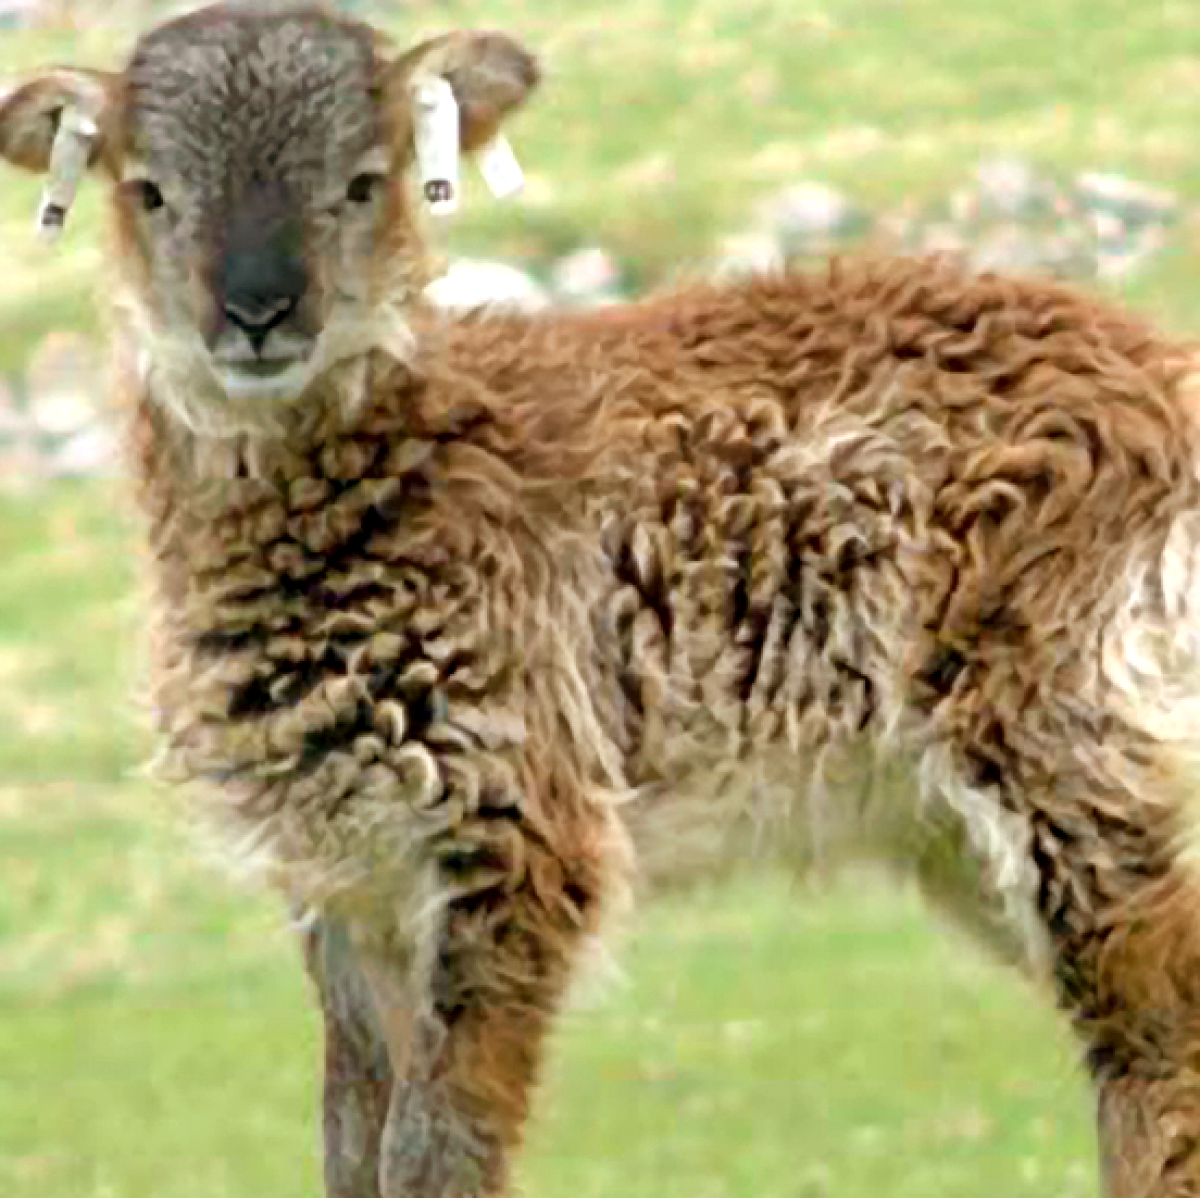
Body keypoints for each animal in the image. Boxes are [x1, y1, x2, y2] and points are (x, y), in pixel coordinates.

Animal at [7, 2, 1200, 1198]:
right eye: (148, 189)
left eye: (364, 180)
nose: (257, 311)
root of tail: (1163, 378)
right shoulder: (340, 866)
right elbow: (353, 1131)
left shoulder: (516, 812)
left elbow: (437, 1146)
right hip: (958, 816)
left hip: (1068, 713)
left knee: (1157, 1033)